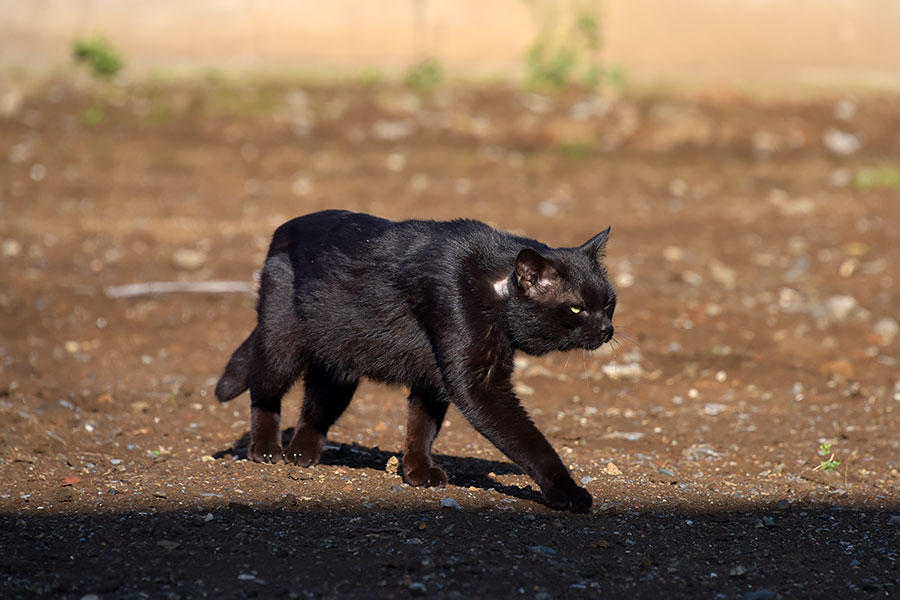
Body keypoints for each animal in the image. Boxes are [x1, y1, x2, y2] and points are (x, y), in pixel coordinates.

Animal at [214, 210, 616, 510]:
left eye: (609, 303)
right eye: (577, 308)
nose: (607, 329)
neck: (493, 285)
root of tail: (283, 229)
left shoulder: (432, 376)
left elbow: (420, 427)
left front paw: (417, 471)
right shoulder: (476, 381)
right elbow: (529, 440)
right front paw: (567, 491)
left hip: (338, 369)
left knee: (316, 408)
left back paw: (302, 453)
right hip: (279, 344)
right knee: (264, 394)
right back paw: (266, 449)